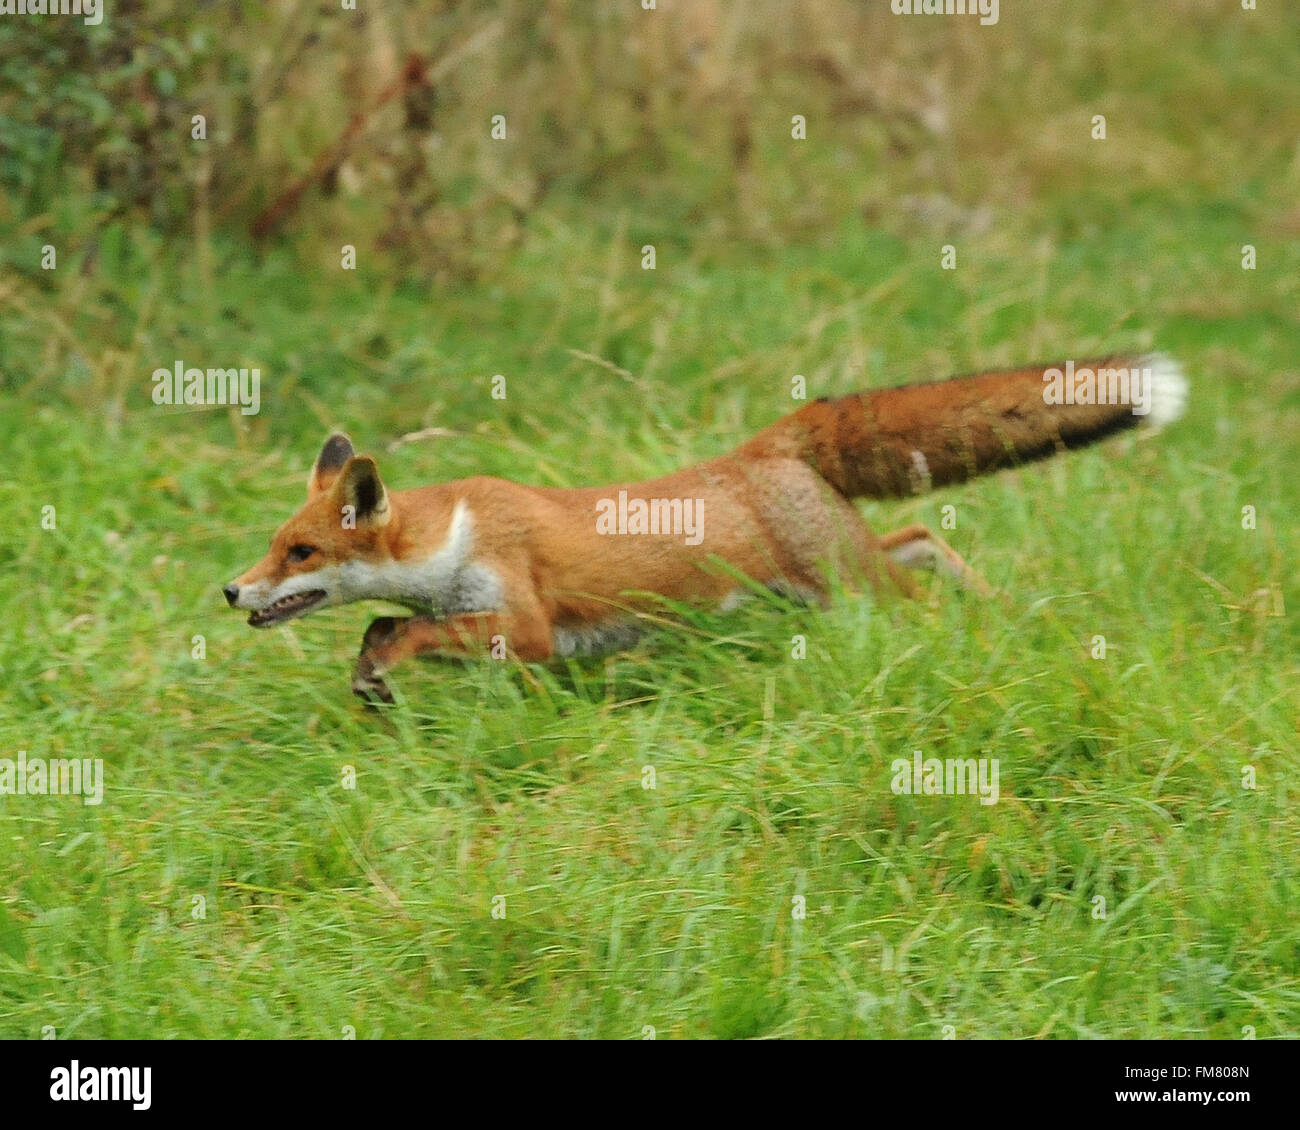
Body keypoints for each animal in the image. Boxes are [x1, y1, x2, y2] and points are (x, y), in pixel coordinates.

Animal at [224, 354, 1187, 702]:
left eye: (302, 551)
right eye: (274, 542)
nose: (231, 589)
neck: (454, 536)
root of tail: (763, 444)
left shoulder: (525, 624)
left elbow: (407, 629)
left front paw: (381, 668)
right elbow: (389, 626)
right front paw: (370, 677)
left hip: (853, 592)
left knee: (921, 571)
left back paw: (991, 628)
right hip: (836, 583)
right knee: (921, 536)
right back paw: (1002, 610)